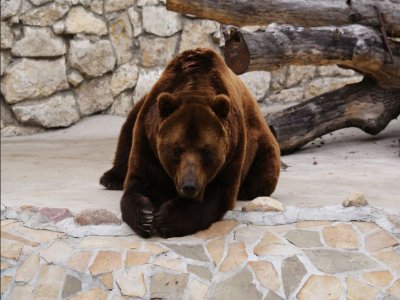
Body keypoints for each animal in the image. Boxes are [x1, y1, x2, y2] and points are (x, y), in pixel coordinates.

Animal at [101, 48, 280, 238]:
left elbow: (215, 195)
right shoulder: (148, 139)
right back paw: (111, 179)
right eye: (177, 149)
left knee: (262, 178)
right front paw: (146, 216)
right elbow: (140, 183)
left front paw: (165, 218)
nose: (189, 186)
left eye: (206, 151)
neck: (196, 86)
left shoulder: (233, 150)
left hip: (262, 146)